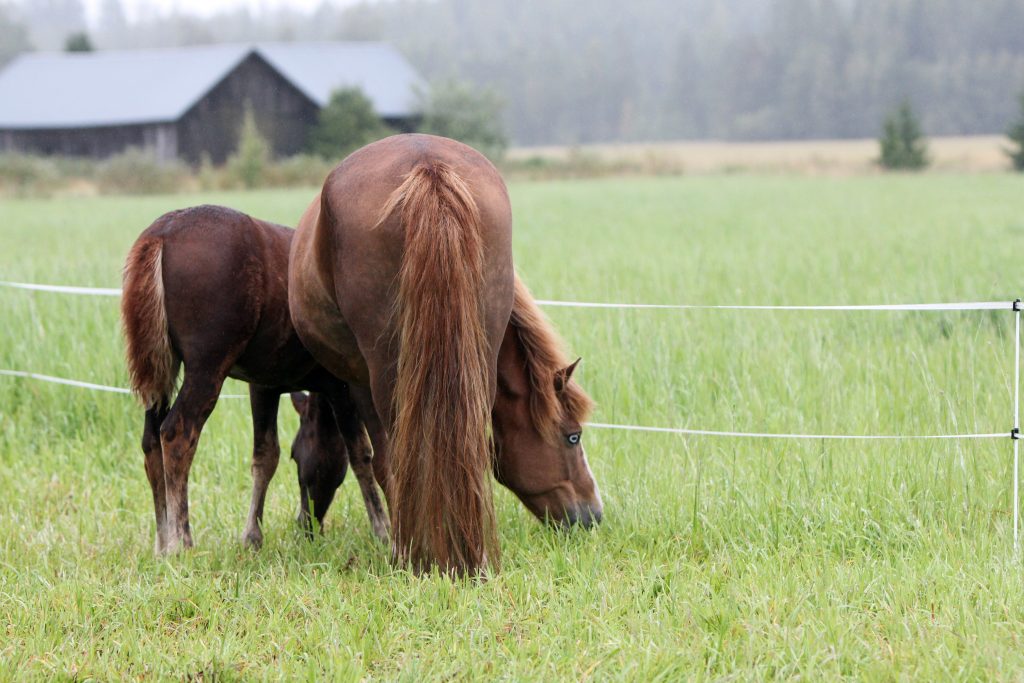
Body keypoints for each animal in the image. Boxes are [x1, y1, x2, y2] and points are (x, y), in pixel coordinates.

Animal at [119, 204, 389, 557]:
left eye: (297, 456)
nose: (306, 526)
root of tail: (160, 235)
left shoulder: (264, 386)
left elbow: (266, 456)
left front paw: (252, 536)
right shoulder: (345, 388)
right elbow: (362, 453)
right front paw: (382, 529)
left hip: (161, 372)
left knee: (151, 440)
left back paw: (163, 543)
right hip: (207, 368)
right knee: (176, 433)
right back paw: (181, 541)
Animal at [288, 131, 598, 573]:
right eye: (573, 437)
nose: (593, 515)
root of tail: (428, 165)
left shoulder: (353, 384)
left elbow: (374, 460)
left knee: (397, 456)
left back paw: (414, 553)